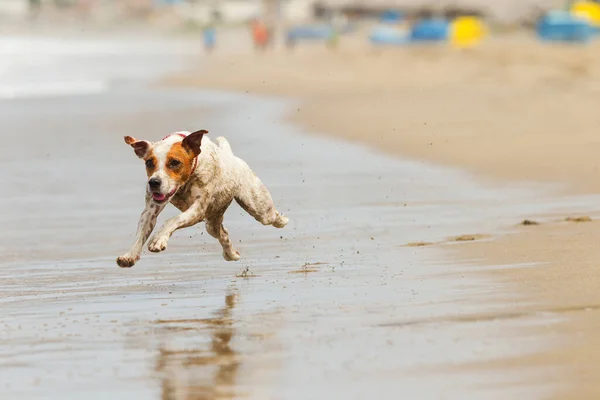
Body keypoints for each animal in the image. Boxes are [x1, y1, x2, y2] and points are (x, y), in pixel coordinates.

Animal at [116, 129, 288, 268]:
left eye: (175, 162)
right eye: (149, 162)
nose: (154, 182)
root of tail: (232, 157)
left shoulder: (198, 209)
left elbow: (172, 220)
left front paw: (158, 239)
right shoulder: (150, 209)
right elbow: (141, 232)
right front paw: (129, 255)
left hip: (258, 208)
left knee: (270, 216)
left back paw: (282, 220)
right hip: (211, 222)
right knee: (223, 234)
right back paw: (231, 255)